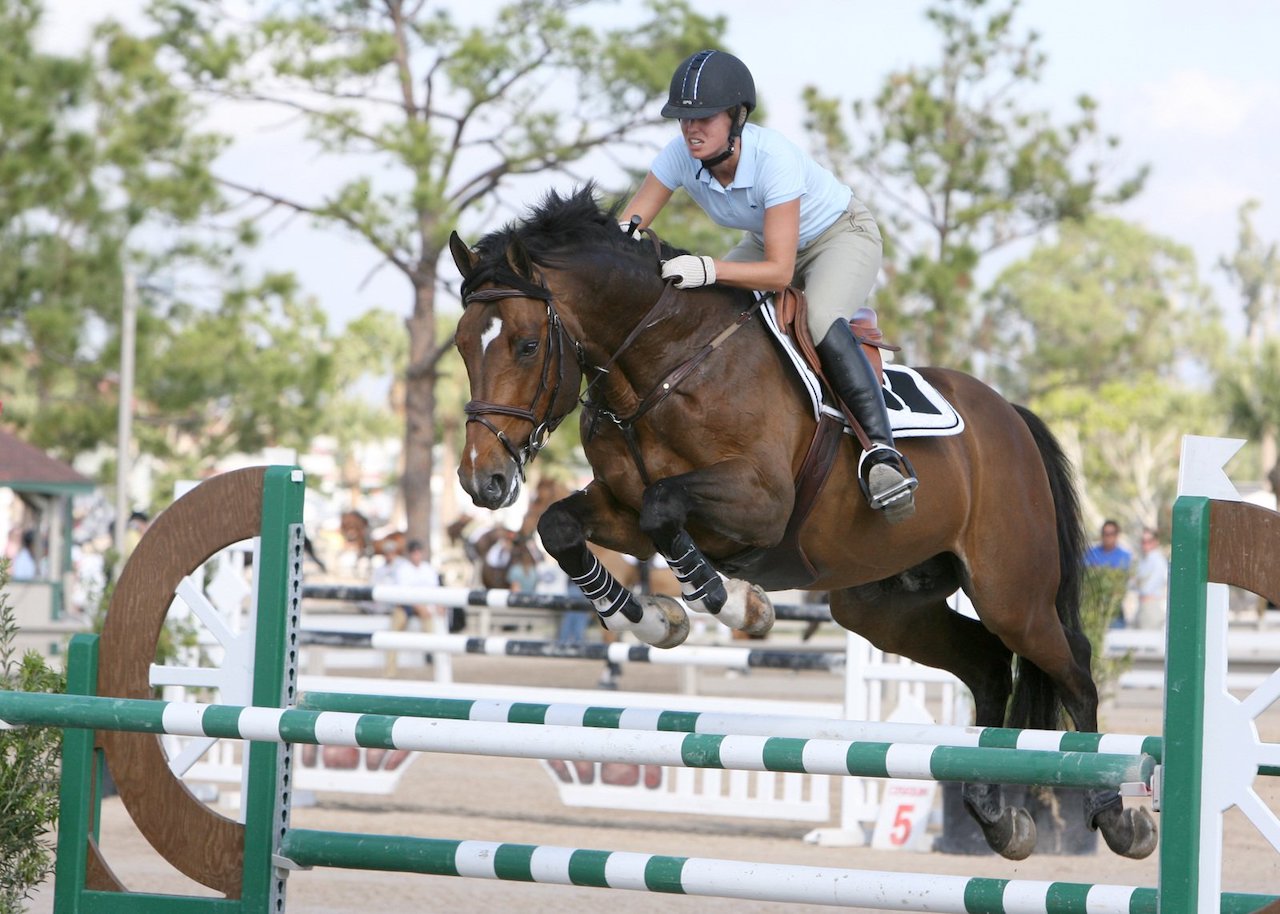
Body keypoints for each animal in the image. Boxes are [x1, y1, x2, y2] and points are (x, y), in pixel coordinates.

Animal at [453, 186, 1162, 860]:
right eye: (462, 345)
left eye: (526, 344)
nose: (481, 480)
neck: (664, 365)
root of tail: (1012, 415)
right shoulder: (620, 507)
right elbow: (563, 527)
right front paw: (651, 617)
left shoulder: (761, 504)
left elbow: (665, 510)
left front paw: (734, 602)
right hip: (882, 605)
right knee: (988, 665)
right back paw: (994, 817)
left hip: (1013, 594)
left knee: (1075, 670)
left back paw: (1117, 819)